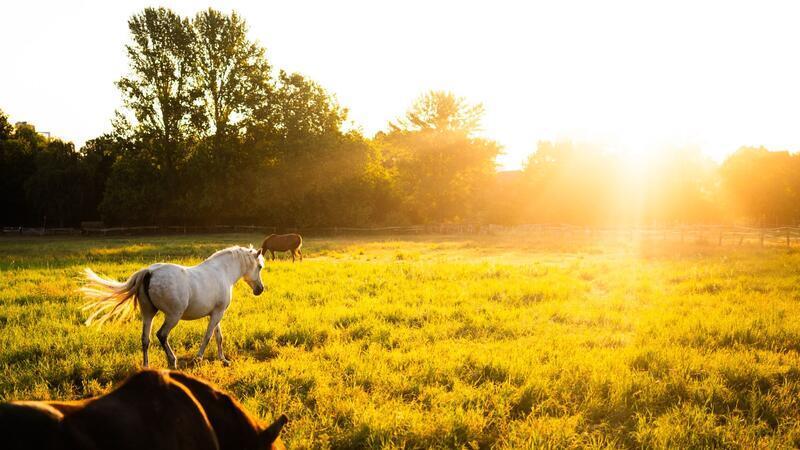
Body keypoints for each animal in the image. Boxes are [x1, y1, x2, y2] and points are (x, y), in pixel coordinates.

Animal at [81, 246, 265, 369]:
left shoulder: (215, 313)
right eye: (259, 266)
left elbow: (218, 336)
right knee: (161, 335)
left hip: (148, 313)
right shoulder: (217, 313)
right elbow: (208, 336)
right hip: (173, 316)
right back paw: (173, 361)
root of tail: (149, 272)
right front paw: (198, 359)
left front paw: (223, 360)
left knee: (145, 339)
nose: (260, 290)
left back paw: (147, 366)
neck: (222, 272)